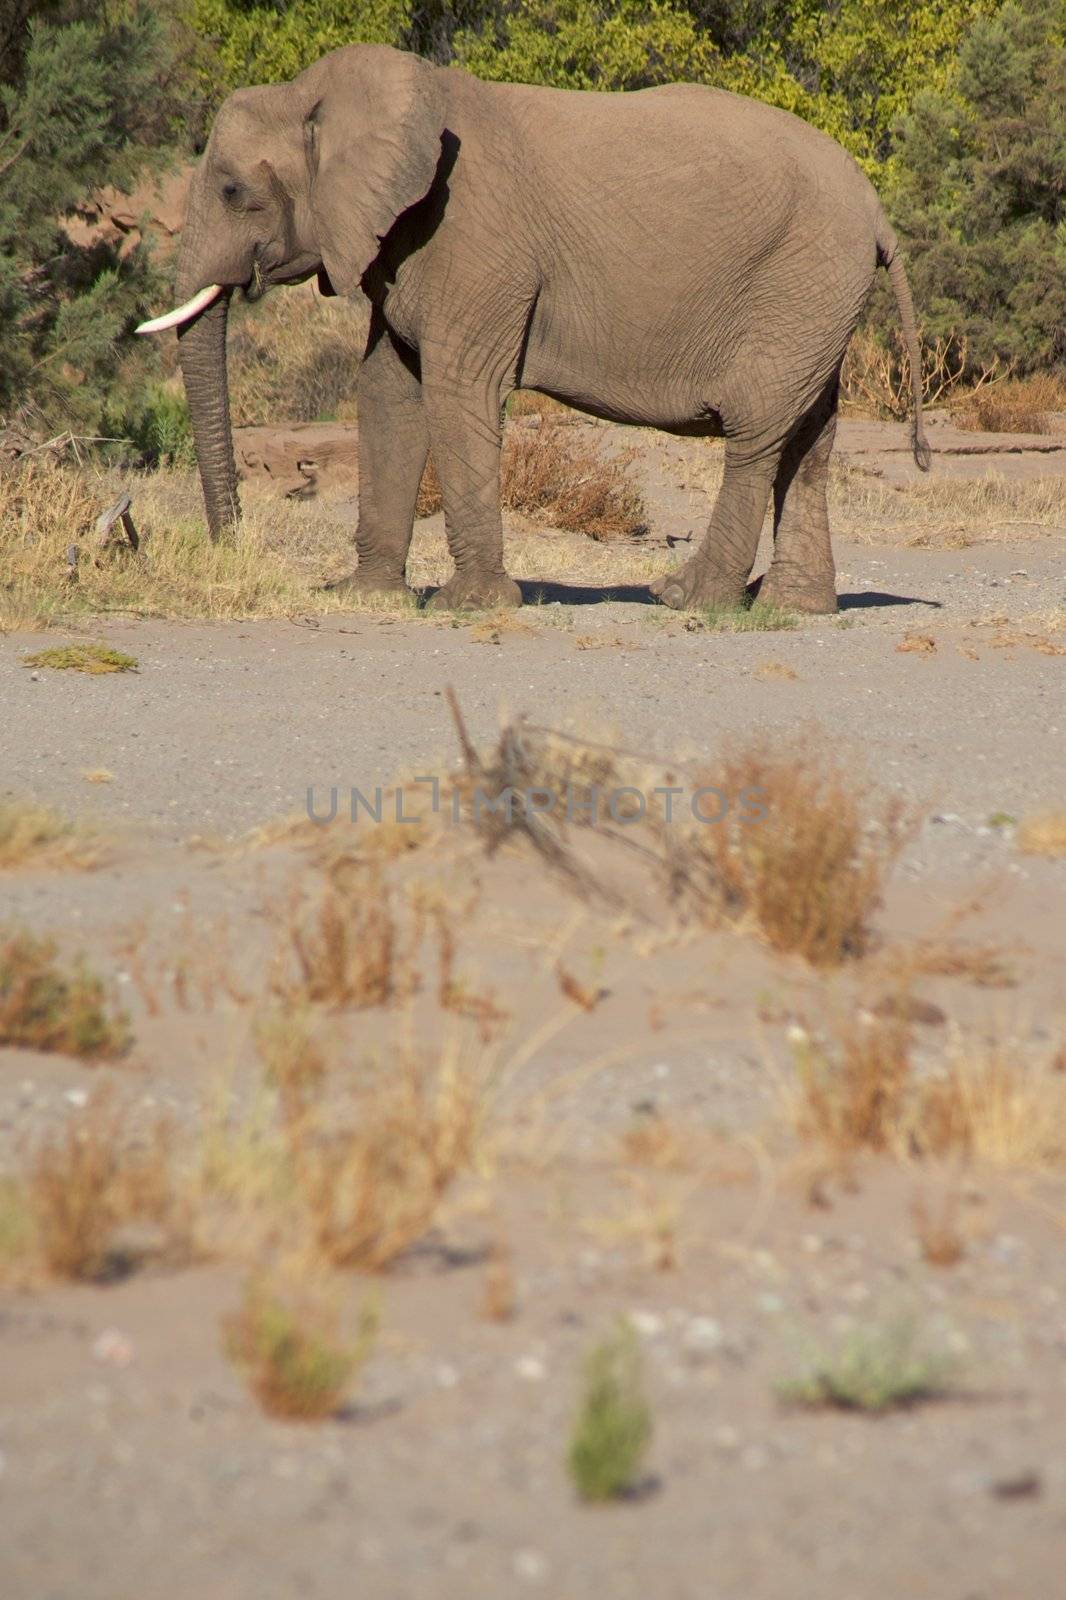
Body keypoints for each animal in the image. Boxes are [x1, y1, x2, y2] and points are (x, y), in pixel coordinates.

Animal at [136, 42, 928, 617]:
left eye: (234, 192)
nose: (233, 546)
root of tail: (878, 210)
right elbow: (390, 391)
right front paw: (367, 598)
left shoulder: (473, 241)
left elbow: (459, 390)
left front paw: (468, 607)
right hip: (816, 299)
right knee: (810, 439)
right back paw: (794, 610)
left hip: (800, 281)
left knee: (758, 432)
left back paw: (690, 599)